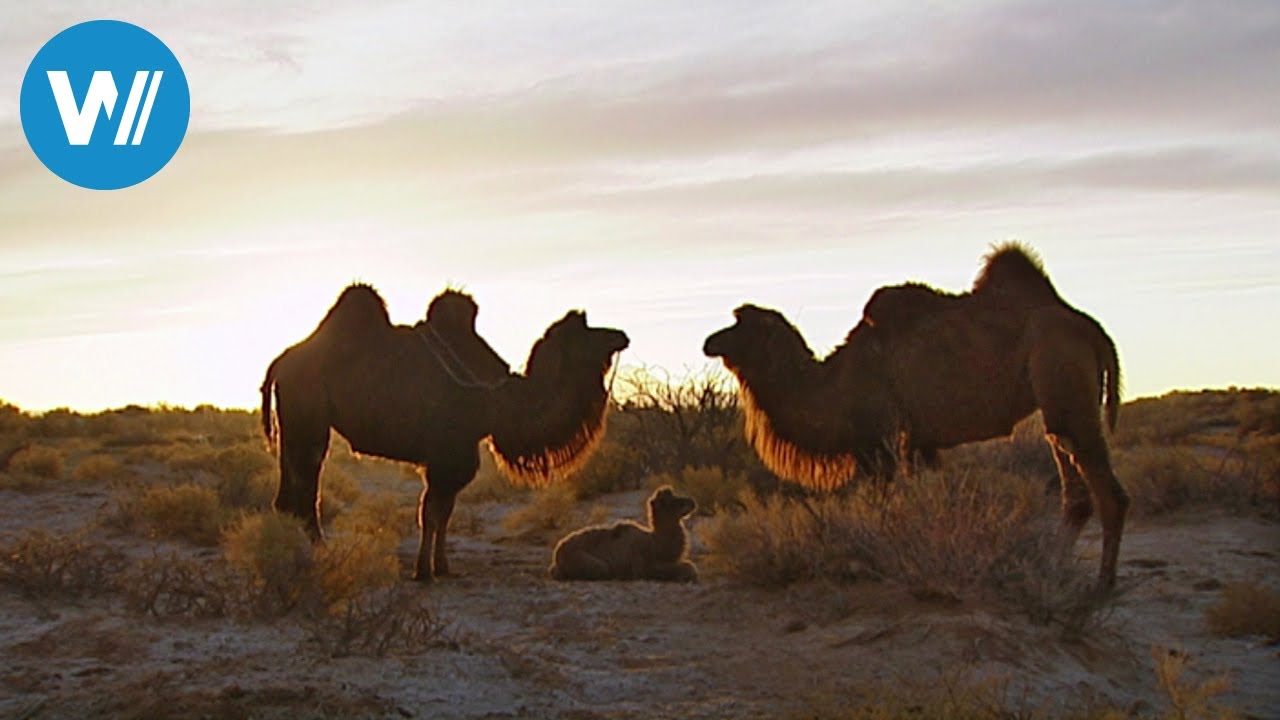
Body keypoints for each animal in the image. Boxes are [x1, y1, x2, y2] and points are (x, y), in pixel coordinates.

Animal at [545, 484, 696, 579]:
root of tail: (556, 555)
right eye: (671, 502)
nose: (692, 502)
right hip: (594, 564)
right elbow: (689, 567)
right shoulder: (644, 567)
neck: (655, 542)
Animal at [701, 243, 1131, 586]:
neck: (834, 385)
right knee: (1071, 478)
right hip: (1055, 395)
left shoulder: (879, 444)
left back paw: (1102, 585)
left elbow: (883, 507)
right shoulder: (918, 444)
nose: (708, 341)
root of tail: (1092, 329)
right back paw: (1057, 571)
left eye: (740, 323)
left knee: (1105, 486)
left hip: (1060, 368)